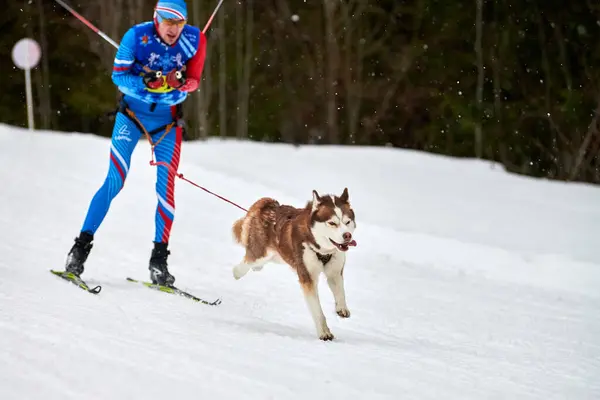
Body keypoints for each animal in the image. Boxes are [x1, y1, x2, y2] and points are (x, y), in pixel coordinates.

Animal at [231, 188, 356, 340]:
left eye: (347, 222)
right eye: (332, 223)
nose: (347, 235)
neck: (322, 250)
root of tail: (268, 204)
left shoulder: (335, 272)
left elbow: (340, 292)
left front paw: (341, 308)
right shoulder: (307, 277)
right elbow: (317, 310)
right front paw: (324, 332)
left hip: (276, 255)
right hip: (260, 254)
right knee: (246, 262)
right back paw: (237, 272)